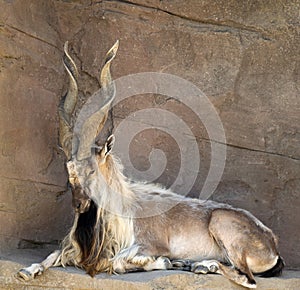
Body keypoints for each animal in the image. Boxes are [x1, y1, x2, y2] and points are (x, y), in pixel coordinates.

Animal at [17, 40, 284, 288]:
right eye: (68, 172)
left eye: (91, 170)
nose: (79, 205)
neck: (123, 208)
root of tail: (271, 243)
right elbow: (54, 253)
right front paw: (27, 271)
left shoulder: (148, 246)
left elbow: (119, 262)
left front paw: (166, 262)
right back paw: (198, 265)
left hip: (222, 225)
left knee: (247, 278)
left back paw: (197, 264)